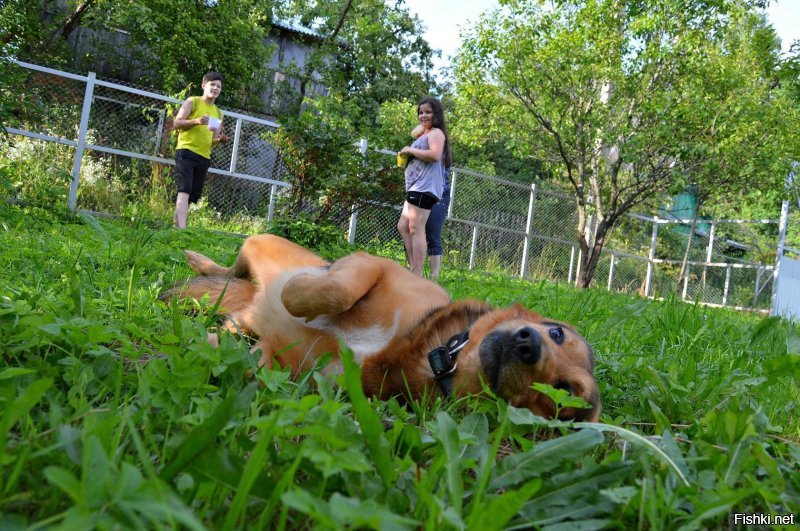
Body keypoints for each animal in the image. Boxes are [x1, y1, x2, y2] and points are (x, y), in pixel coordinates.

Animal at [162, 235, 600, 422]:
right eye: (557, 333)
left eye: (564, 393)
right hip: (259, 244)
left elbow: (256, 363)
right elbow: (334, 289)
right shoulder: (376, 266)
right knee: (229, 268)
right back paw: (200, 260)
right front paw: (300, 294)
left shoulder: (293, 366)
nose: (528, 346)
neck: (435, 349)